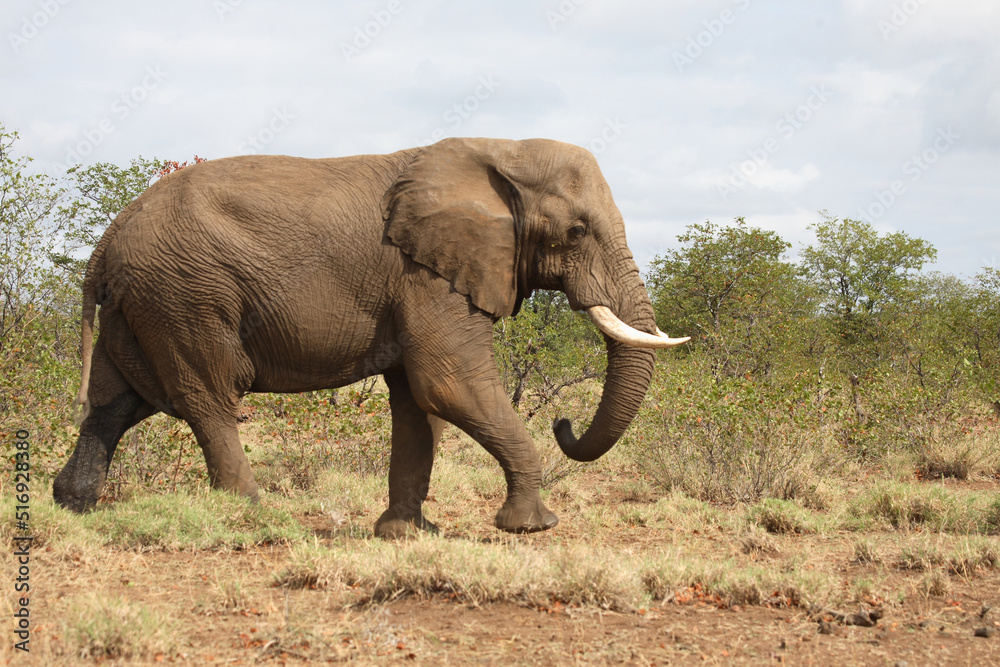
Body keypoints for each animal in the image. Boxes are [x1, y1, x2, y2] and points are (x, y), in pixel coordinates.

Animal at [53, 137, 688, 537]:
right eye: (576, 232)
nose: (563, 423)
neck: (500, 152)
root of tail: (105, 243)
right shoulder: (428, 276)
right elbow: (448, 384)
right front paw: (531, 528)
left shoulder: (421, 278)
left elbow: (418, 402)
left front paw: (406, 534)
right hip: (185, 296)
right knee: (208, 396)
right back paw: (252, 515)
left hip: (142, 303)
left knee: (116, 402)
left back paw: (73, 505)